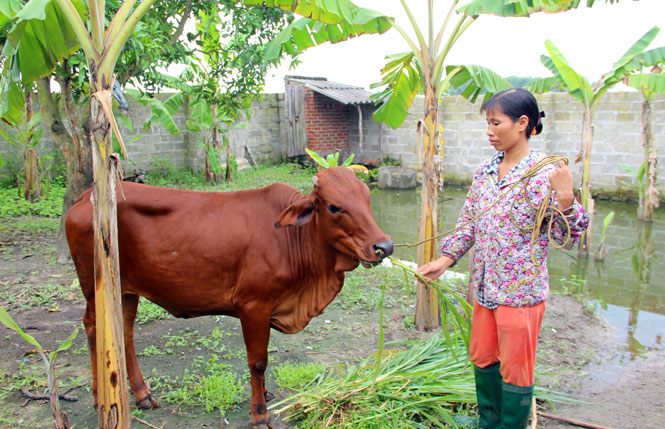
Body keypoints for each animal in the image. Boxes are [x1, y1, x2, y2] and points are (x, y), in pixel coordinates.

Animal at [65, 166, 392, 426]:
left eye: (367, 198)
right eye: (334, 207)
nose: (384, 247)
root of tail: (86, 196)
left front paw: (265, 394)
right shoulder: (253, 306)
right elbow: (258, 362)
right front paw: (260, 414)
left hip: (126, 290)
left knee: (124, 333)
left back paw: (142, 394)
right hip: (93, 286)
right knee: (94, 327)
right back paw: (100, 396)